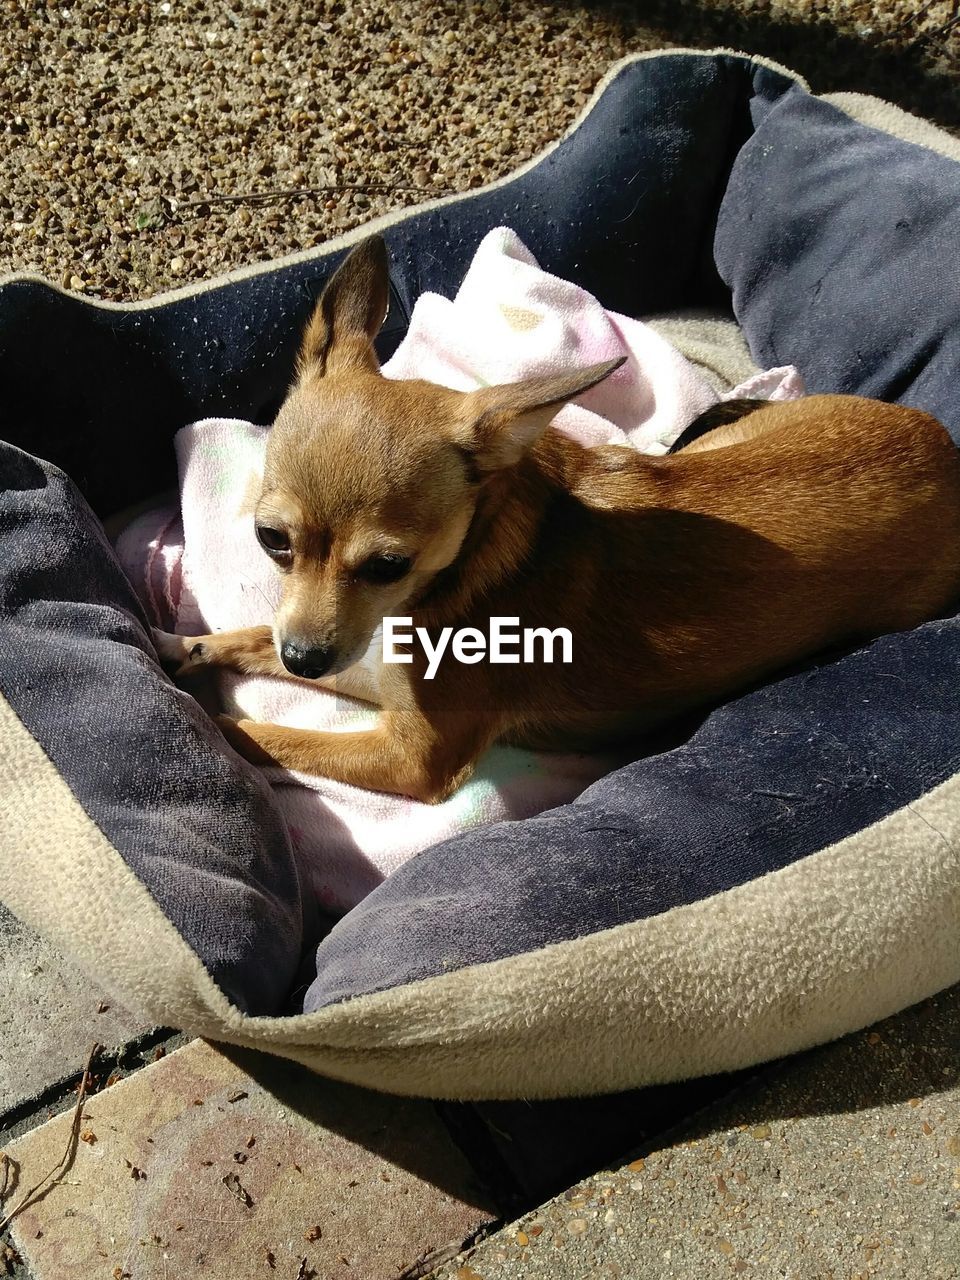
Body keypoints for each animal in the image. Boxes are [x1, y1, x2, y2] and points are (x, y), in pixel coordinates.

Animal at [154, 232, 960, 798]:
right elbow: (252, 635)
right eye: (271, 540)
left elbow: (263, 735)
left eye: (389, 565)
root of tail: (949, 448)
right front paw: (183, 645)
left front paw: (207, 729)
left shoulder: (411, 754)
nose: (305, 660)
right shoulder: (370, 664)